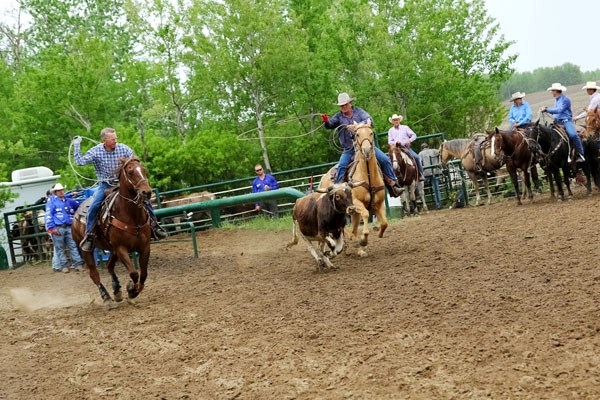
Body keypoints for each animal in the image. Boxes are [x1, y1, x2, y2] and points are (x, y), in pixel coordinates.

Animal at [73, 158, 154, 308]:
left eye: (144, 170)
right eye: (130, 172)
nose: (147, 192)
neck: (131, 215)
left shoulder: (145, 246)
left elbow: (144, 273)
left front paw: (133, 291)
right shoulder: (121, 248)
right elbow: (134, 273)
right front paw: (132, 290)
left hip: (112, 249)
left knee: (109, 266)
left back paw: (117, 291)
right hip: (87, 251)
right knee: (94, 275)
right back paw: (107, 298)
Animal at [318, 119, 390, 256]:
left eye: (371, 133)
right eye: (357, 134)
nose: (366, 150)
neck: (368, 175)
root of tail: (323, 177)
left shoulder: (379, 203)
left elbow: (384, 223)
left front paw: (377, 234)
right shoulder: (356, 202)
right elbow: (366, 214)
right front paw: (363, 240)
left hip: (353, 213)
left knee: (353, 228)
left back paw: (356, 248)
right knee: (342, 228)